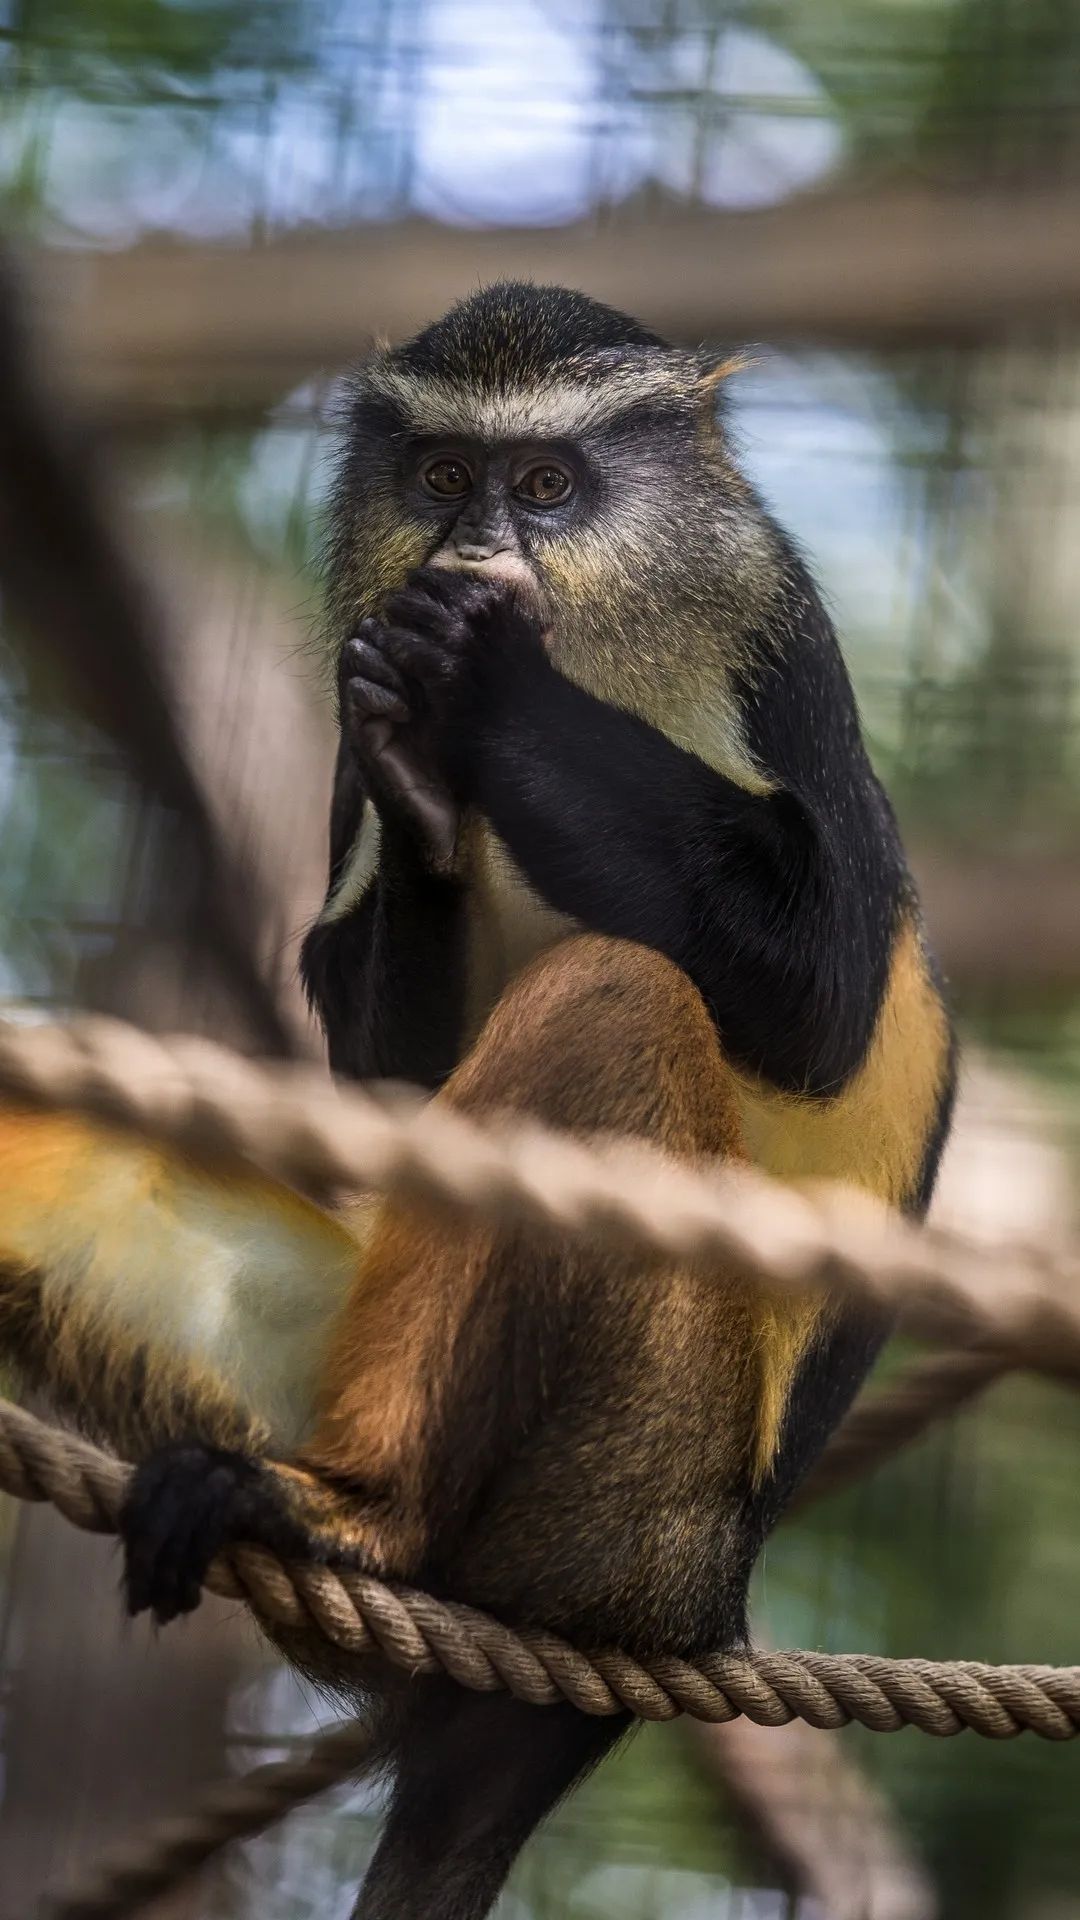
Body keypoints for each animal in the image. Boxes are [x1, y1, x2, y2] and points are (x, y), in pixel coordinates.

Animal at [0, 284, 955, 1920]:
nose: (476, 546)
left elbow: (829, 992)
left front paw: (488, 692)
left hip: (630, 1492)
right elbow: (391, 1078)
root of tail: (704, 1607)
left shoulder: (788, 653)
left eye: (550, 486)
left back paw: (357, 1516)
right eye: (444, 478)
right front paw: (430, 791)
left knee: (620, 996)